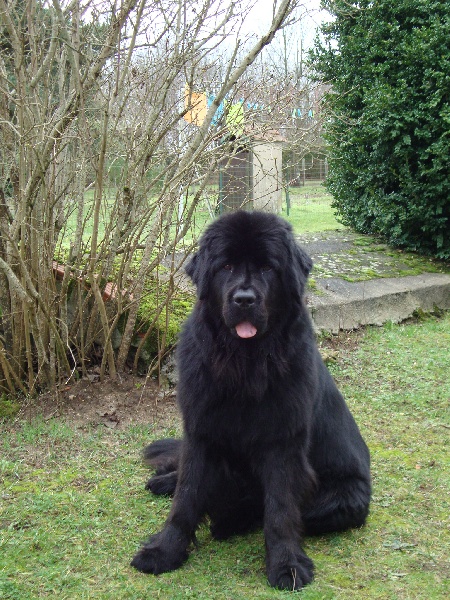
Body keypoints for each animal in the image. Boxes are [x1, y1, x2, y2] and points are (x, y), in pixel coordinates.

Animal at [130, 212, 370, 592]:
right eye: (226, 266)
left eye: (268, 268)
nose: (244, 299)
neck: (243, 363)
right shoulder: (199, 430)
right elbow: (187, 495)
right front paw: (165, 551)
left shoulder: (283, 444)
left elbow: (280, 510)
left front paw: (287, 565)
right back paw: (168, 483)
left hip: (346, 500)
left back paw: (228, 521)